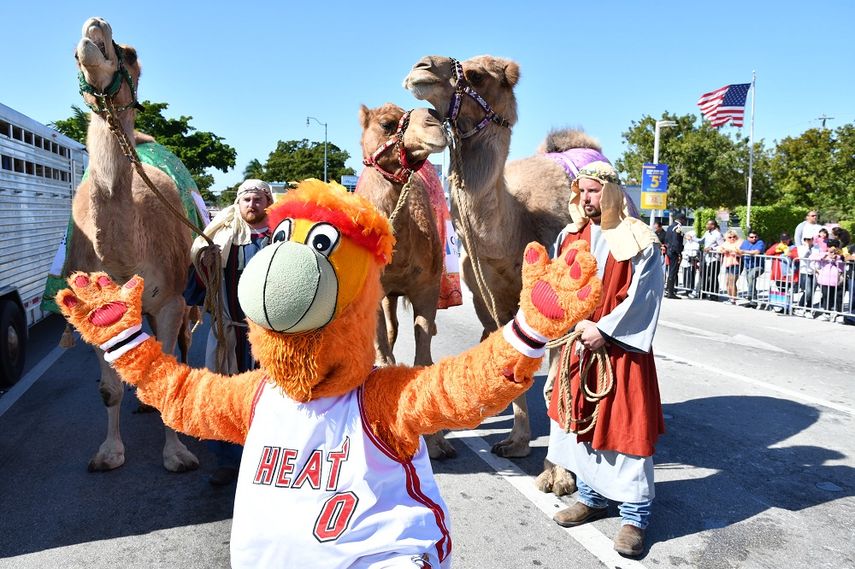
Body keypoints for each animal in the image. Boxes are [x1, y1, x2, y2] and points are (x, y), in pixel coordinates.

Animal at [68, 16, 199, 470]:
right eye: (73, 52)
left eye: (131, 53)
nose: (95, 25)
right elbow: (109, 389)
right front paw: (109, 453)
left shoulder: (172, 298)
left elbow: (171, 373)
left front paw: (177, 455)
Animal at [358, 102, 458, 458]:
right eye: (387, 124)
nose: (435, 123)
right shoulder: (373, 292)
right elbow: (383, 352)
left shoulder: (427, 288)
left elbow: (423, 355)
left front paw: (437, 442)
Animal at [406, 55, 600, 492]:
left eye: (477, 75)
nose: (419, 68)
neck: (518, 223)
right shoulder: (491, 297)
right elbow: (512, 364)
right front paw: (516, 443)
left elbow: (556, 381)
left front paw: (557, 475)